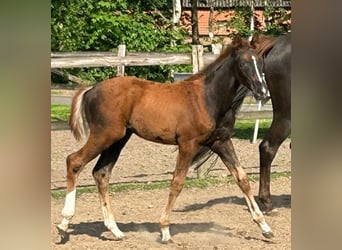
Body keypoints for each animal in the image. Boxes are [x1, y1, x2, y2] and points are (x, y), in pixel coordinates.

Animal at [56, 36, 276, 243]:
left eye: (260, 63)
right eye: (242, 64)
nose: (263, 92)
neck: (207, 98)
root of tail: (91, 89)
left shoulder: (221, 142)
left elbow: (242, 179)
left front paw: (265, 228)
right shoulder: (188, 144)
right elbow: (177, 182)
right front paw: (165, 230)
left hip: (118, 139)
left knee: (101, 173)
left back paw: (115, 230)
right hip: (104, 135)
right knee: (74, 161)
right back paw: (64, 224)